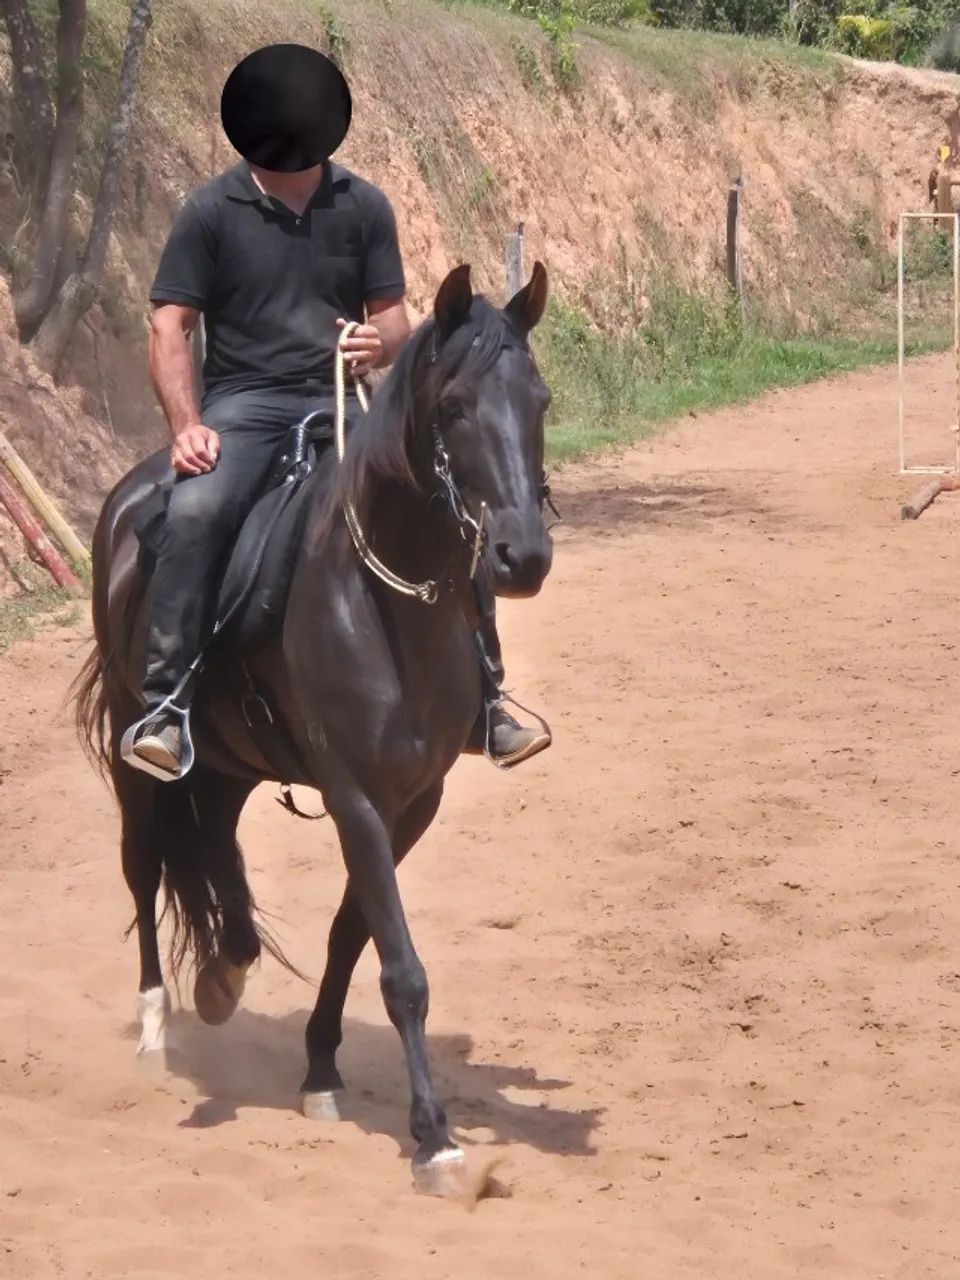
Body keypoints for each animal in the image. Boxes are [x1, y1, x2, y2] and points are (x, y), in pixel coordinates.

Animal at [75, 262, 554, 1194]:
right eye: (454, 407)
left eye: (539, 400)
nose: (523, 557)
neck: (384, 600)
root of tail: (133, 493)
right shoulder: (356, 796)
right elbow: (401, 967)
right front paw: (434, 1139)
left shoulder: (414, 802)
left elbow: (350, 935)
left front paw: (322, 1070)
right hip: (138, 761)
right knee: (144, 870)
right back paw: (155, 1027)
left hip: (227, 763)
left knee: (213, 847)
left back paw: (225, 971)